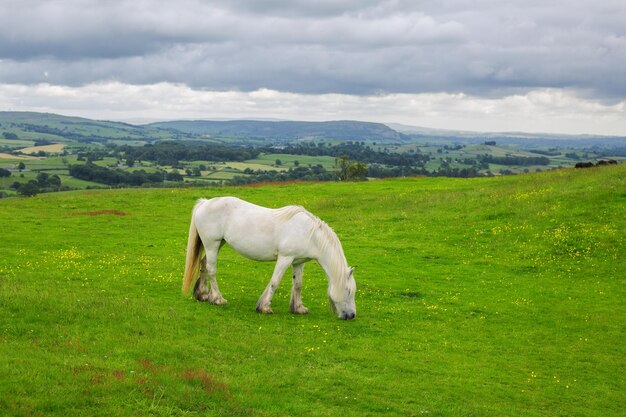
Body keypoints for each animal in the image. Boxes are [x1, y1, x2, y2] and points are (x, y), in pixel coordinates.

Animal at [182, 197, 356, 320]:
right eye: (348, 291)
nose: (352, 315)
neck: (310, 234)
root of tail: (205, 203)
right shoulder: (285, 258)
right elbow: (275, 282)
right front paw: (264, 307)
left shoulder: (298, 262)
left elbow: (298, 285)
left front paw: (299, 308)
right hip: (212, 244)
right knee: (211, 270)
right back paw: (218, 299)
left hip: (217, 244)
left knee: (204, 264)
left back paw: (203, 295)